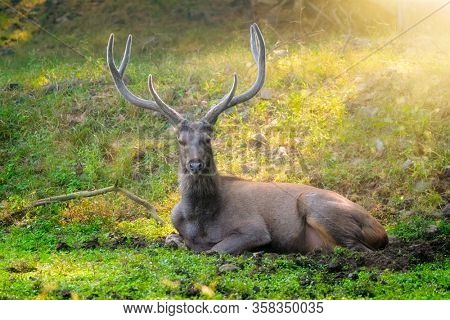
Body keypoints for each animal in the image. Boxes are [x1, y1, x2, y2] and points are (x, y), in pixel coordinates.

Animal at [107, 23, 388, 255]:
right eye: (180, 139)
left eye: (208, 138)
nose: (195, 164)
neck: (200, 220)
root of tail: (382, 231)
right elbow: (172, 240)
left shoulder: (254, 227)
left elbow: (214, 249)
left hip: (318, 206)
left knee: (358, 249)